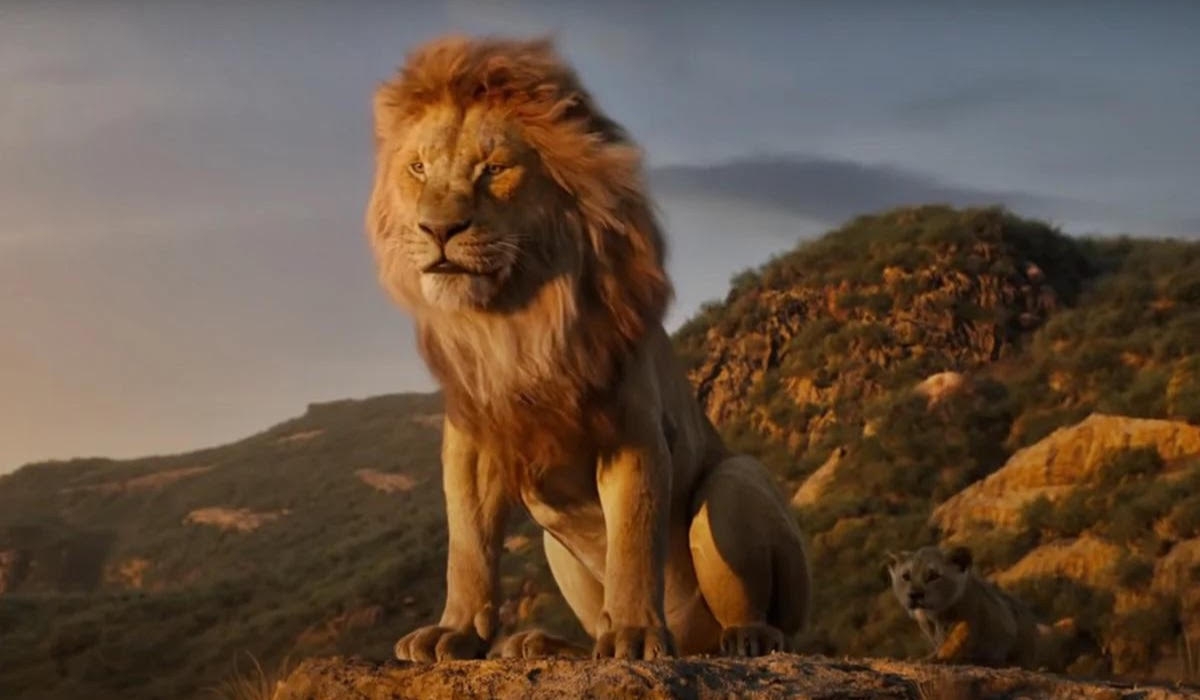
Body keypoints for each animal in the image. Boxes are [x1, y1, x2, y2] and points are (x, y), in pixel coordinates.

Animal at [365, 35, 812, 662]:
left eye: (495, 169)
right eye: (419, 168)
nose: (438, 230)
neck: (514, 322)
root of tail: (692, 642)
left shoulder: (633, 431)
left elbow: (632, 540)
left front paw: (633, 635)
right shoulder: (472, 443)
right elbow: (468, 548)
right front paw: (453, 633)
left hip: (735, 483)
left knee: (770, 618)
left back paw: (746, 637)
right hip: (556, 547)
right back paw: (544, 645)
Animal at [886, 546, 1071, 670]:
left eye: (933, 576)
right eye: (906, 576)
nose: (914, 595)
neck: (935, 614)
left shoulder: (980, 620)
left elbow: (956, 639)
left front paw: (935, 658)